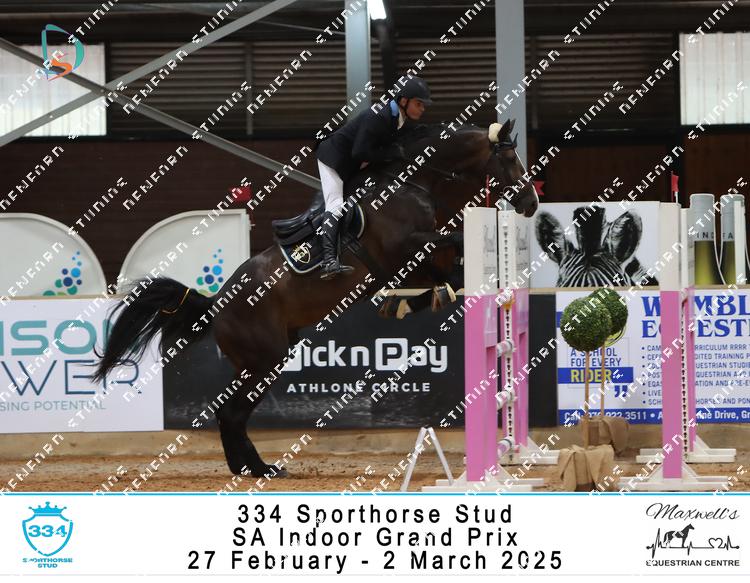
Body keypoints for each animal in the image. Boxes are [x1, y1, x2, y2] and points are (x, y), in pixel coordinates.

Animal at [91, 119, 539, 478]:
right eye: (510, 159)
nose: (532, 204)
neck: (413, 186)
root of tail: (216, 302)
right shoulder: (404, 253)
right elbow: (452, 252)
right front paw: (415, 299)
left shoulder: (413, 264)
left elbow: (450, 271)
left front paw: (405, 304)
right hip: (263, 359)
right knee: (230, 412)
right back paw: (256, 469)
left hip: (269, 359)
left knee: (233, 413)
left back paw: (253, 467)